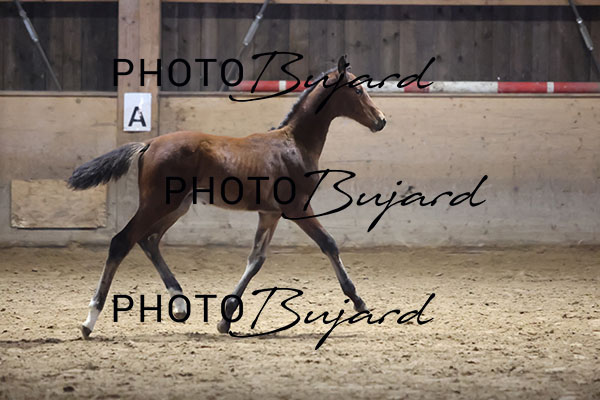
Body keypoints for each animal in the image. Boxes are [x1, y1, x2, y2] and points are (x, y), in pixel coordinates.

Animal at [69, 56, 386, 339]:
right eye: (358, 90)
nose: (381, 120)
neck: (294, 144)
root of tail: (148, 144)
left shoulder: (270, 213)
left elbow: (256, 259)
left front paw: (225, 318)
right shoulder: (297, 208)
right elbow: (329, 243)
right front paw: (359, 303)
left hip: (177, 206)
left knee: (149, 240)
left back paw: (180, 303)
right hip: (158, 203)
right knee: (122, 241)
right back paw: (89, 321)